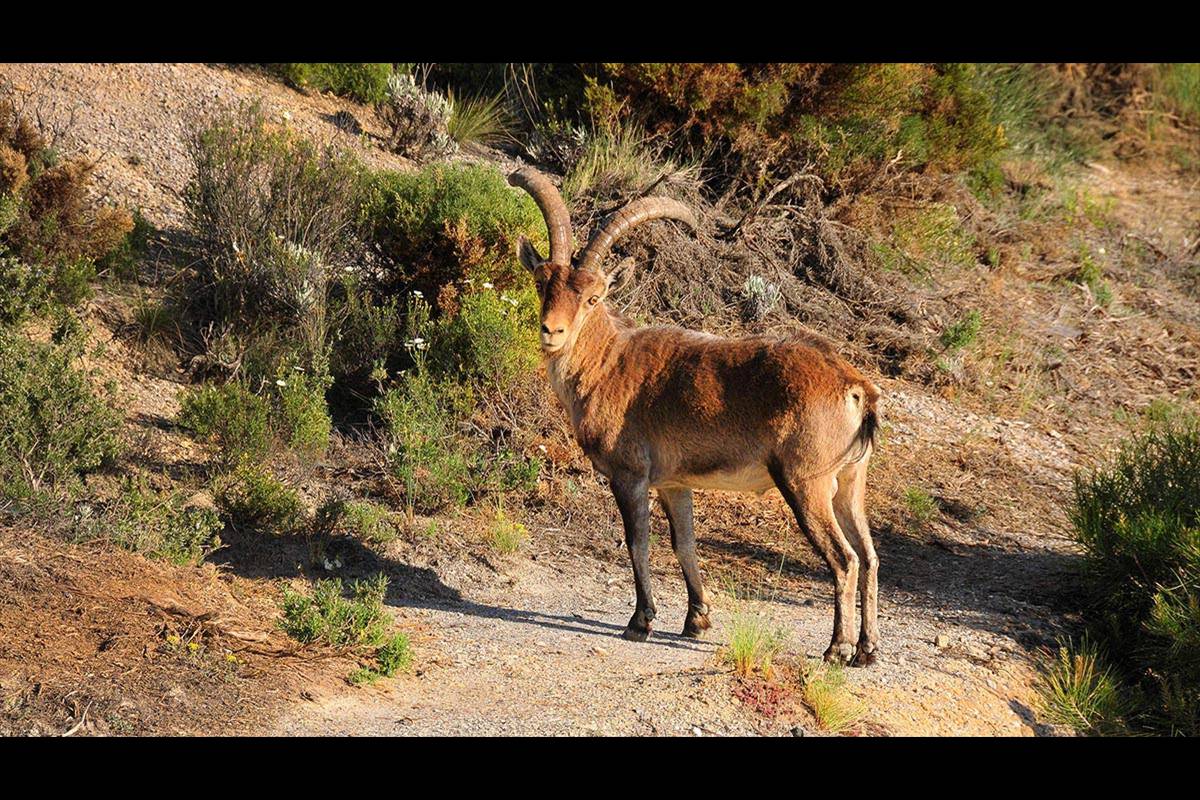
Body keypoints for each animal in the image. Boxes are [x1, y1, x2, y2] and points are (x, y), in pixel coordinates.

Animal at [509, 168, 882, 666]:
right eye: (541, 283)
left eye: (593, 298)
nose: (553, 331)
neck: (608, 362)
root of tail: (856, 389)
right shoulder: (674, 482)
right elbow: (683, 543)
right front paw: (696, 619)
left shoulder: (630, 473)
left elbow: (638, 541)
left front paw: (640, 622)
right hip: (849, 482)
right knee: (870, 555)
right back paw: (867, 649)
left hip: (807, 482)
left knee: (845, 559)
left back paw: (837, 648)